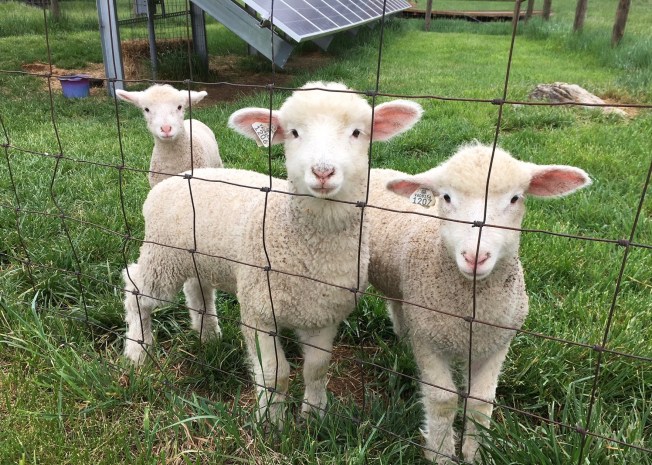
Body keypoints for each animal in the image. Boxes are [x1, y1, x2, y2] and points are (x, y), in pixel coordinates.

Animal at [122, 82, 423, 424]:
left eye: (358, 132)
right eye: (293, 132)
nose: (322, 172)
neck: (308, 252)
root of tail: (178, 177)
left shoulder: (323, 315)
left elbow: (316, 370)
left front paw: (314, 415)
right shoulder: (259, 313)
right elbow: (274, 374)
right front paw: (271, 421)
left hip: (193, 256)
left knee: (197, 290)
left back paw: (207, 335)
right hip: (162, 256)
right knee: (135, 288)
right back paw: (138, 349)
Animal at [367, 142, 591, 463]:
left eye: (515, 198)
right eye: (446, 197)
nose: (476, 257)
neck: (471, 308)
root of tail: (378, 169)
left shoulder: (496, 341)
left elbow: (480, 401)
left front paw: (475, 453)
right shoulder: (428, 339)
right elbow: (443, 399)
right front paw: (441, 453)